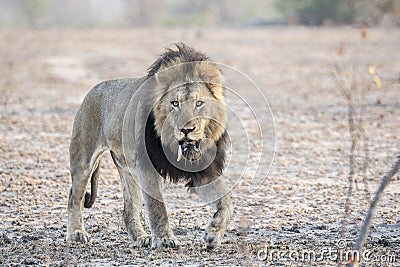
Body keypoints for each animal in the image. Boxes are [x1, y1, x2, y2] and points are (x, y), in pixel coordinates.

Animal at [67, 43, 233, 250]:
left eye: (199, 103)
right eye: (175, 103)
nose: (186, 130)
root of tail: (95, 89)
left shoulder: (204, 173)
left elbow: (226, 202)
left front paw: (213, 233)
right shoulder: (147, 168)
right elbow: (157, 206)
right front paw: (164, 239)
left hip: (130, 172)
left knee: (128, 210)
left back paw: (141, 237)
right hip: (84, 160)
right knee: (74, 197)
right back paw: (76, 233)